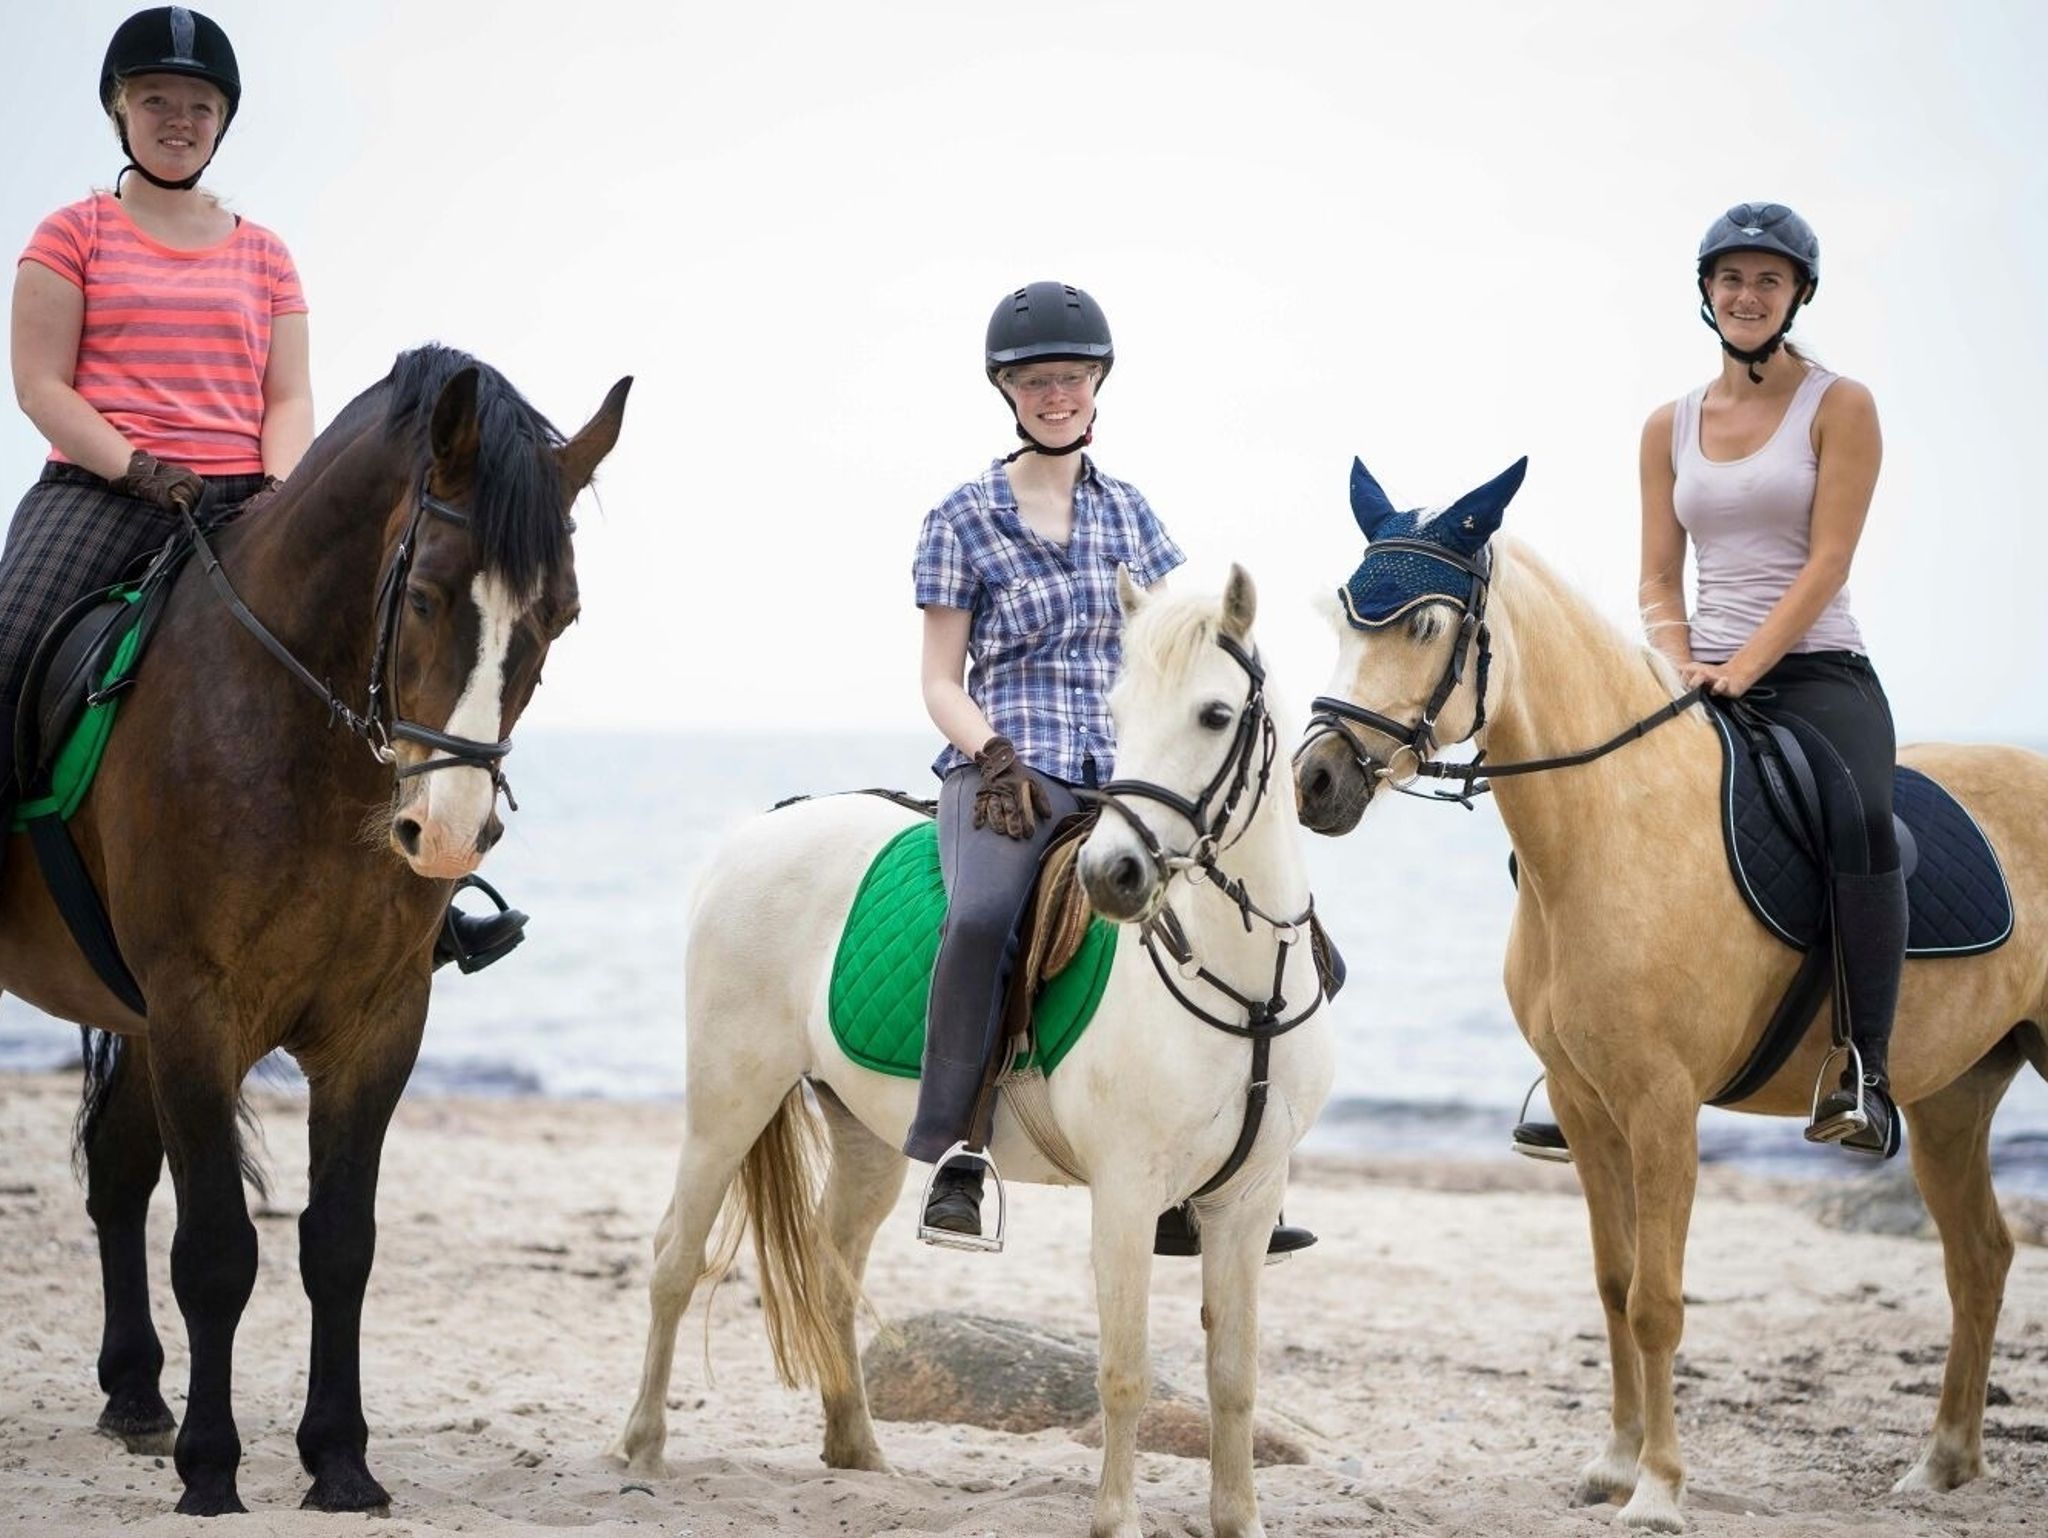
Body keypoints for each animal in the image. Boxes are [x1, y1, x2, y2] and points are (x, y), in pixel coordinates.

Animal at [0, 348, 630, 1515]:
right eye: (423, 594)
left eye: (560, 616)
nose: (449, 832)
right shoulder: (197, 1010)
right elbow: (215, 1248)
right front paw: (212, 1469)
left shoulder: (375, 1021)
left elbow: (339, 1243)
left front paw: (339, 1460)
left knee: (116, 1173)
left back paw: (136, 1396)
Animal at [606, 565, 1335, 1538]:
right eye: (1119, 708)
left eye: (1215, 715)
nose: (1113, 877)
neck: (1247, 985)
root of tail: (758, 833)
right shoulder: (1126, 1195)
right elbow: (1126, 1371)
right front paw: (1115, 1521)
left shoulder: (1246, 1204)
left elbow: (1234, 1380)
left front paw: (1239, 1520)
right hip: (730, 1102)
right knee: (675, 1261)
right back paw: (643, 1446)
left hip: (866, 1132)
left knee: (835, 1272)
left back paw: (858, 1452)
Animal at [1294, 454, 2048, 1531]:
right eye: (1346, 617)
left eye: (1428, 628)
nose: (1315, 779)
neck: (1606, 826)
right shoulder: (1584, 1104)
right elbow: (1614, 1283)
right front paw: (1613, 1463)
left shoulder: (1660, 1106)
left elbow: (1657, 1297)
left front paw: (1657, 1485)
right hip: (1952, 1096)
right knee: (1979, 1256)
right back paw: (1940, 1461)